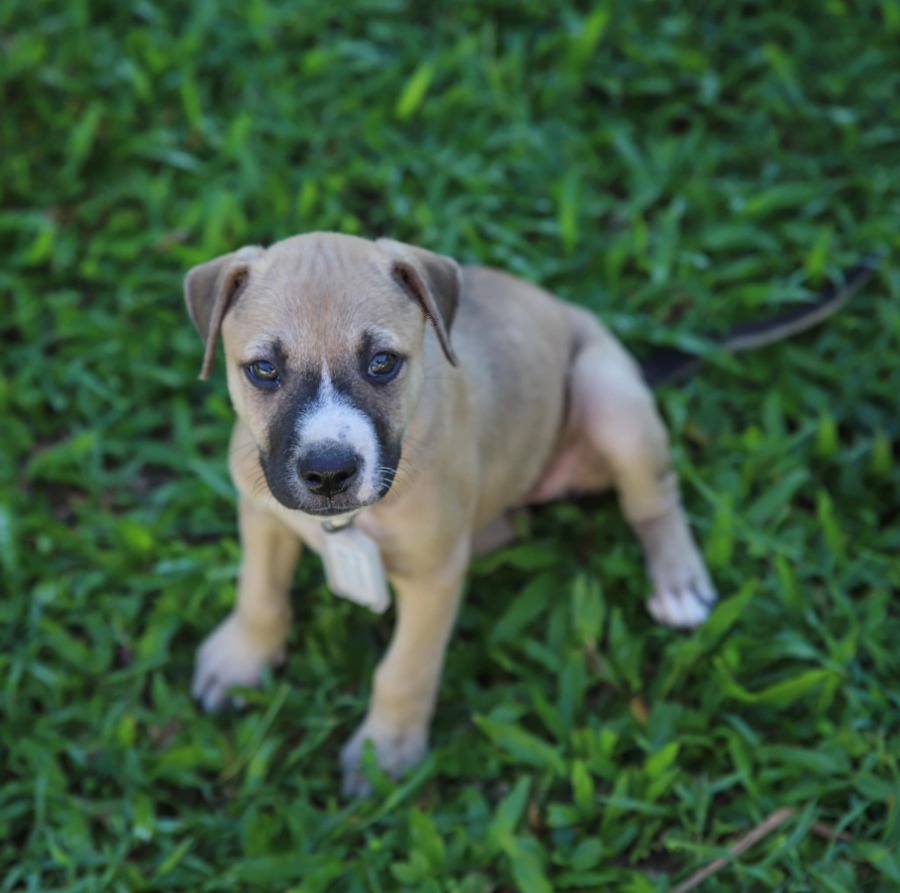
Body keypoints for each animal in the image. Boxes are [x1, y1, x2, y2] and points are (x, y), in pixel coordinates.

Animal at [184, 233, 874, 795]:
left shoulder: (435, 576)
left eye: (382, 363)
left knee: (654, 498)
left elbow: (405, 669)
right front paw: (242, 659)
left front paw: (386, 751)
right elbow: (259, 591)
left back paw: (677, 581)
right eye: (264, 370)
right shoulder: (260, 512)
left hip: (608, 397)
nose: (329, 473)